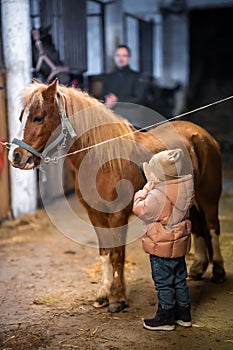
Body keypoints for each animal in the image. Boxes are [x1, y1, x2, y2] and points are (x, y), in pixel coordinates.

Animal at [8, 78, 225, 312]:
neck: (102, 160)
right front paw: (103, 295)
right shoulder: (95, 215)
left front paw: (118, 299)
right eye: (21, 117)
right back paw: (198, 268)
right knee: (199, 227)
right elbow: (105, 253)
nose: (16, 156)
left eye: (38, 117)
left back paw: (218, 271)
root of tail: (200, 133)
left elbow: (118, 255)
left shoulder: (118, 216)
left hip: (208, 196)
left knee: (213, 227)